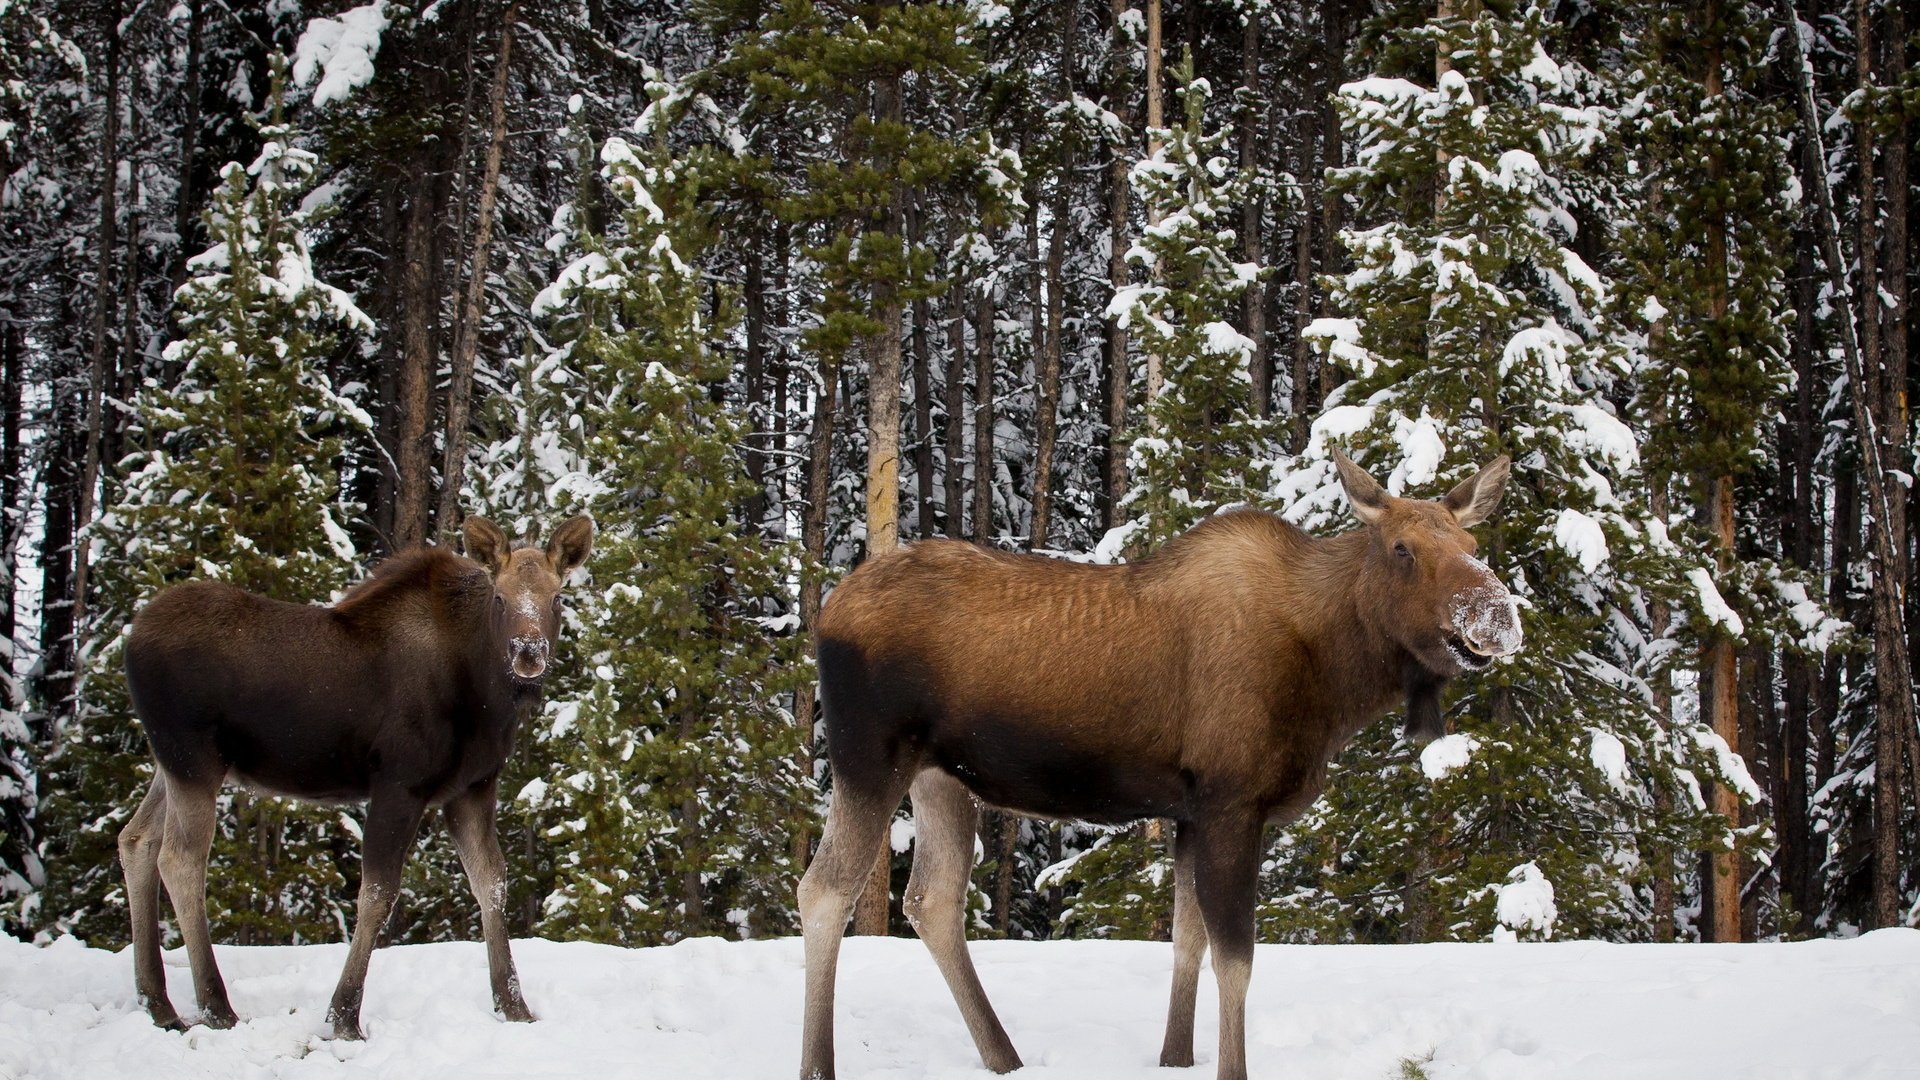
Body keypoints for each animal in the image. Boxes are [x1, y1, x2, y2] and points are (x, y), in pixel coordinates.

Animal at [118, 511, 591, 1037]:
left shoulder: (472, 788)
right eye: (500, 597)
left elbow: (491, 883)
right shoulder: (399, 785)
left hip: (171, 764)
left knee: (136, 839)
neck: (486, 696)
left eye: (557, 597)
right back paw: (216, 1007)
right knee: (181, 860)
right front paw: (343, 1016)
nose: (528, 652)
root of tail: (131, 639)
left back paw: (158, 1003)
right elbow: (377, 896)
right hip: (194, 759)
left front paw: (514, 1006)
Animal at [794, 451, 1512, 1076]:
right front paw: (1228, 1069)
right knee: (825, 888)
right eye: (1402, 549)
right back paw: (819, 1066)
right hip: (869, 757)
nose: (1498, 614)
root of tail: (826, 611)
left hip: (941, 777)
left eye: (1473, 545)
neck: (1334, 681)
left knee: (931, 899)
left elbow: (1187, 938)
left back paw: (1004, 1057)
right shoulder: (1232, 801)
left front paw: (1175, 1057)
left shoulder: (1191, 812)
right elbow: (1235, 959)